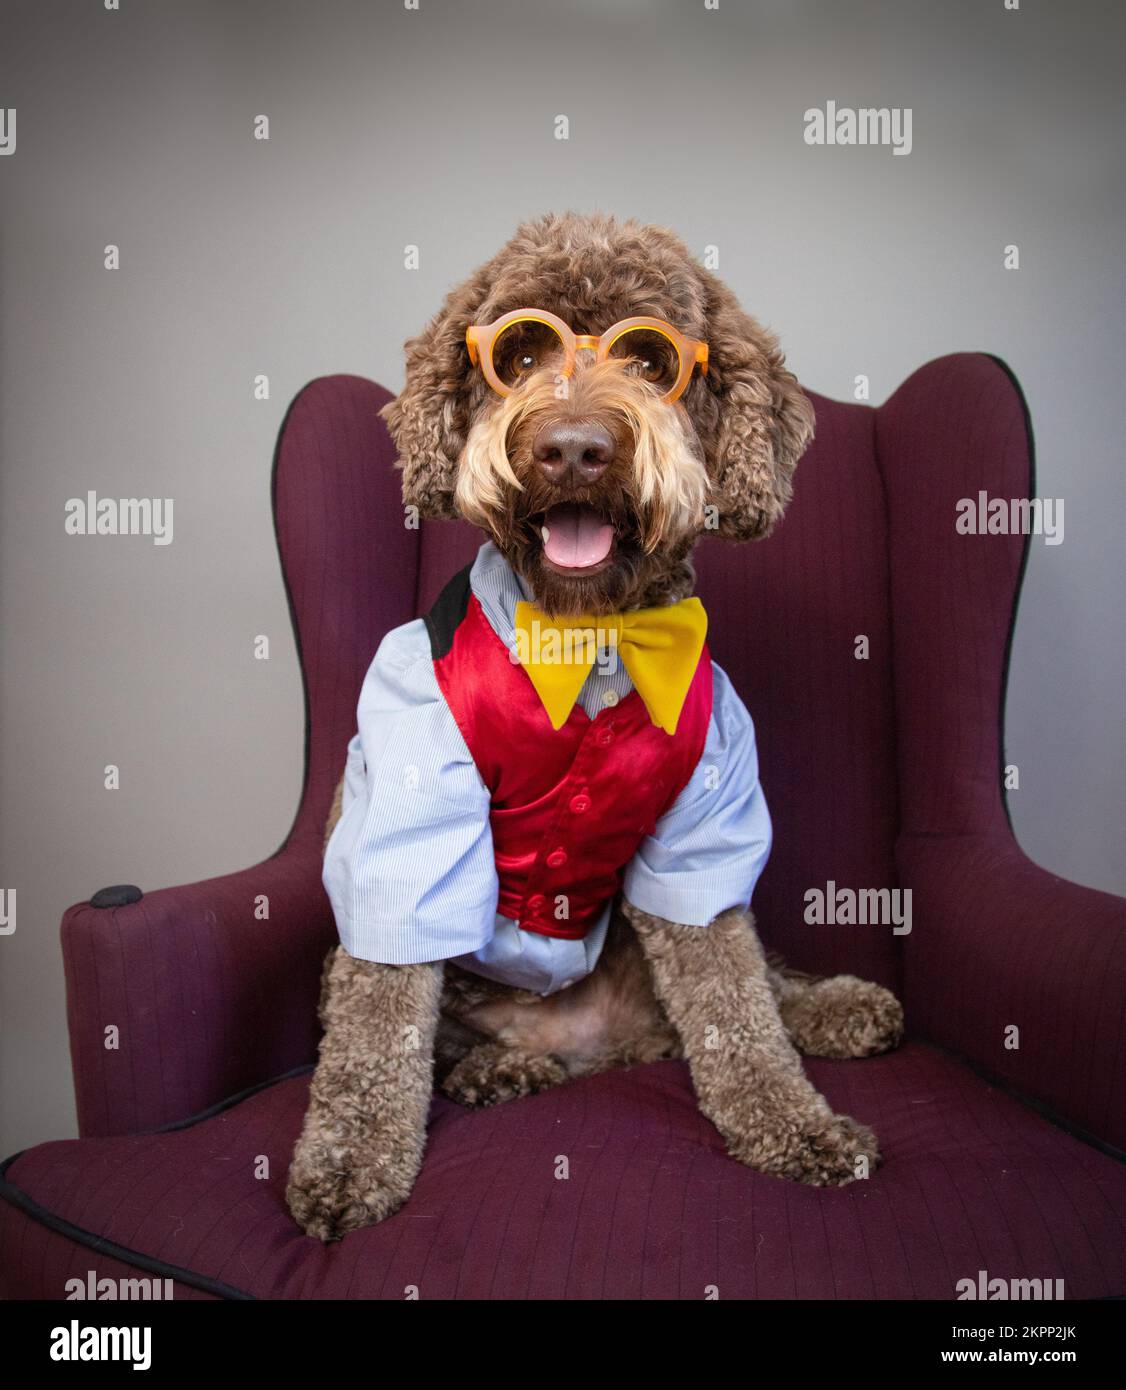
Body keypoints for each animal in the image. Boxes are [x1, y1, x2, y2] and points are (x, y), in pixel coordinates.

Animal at [287, 208, 906, 1239]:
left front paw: (795, 1125)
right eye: (521, 352)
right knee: (426, 1033)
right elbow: (381, 1020)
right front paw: (349, 1163)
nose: (573, 447)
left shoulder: (705, 825)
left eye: (652, 359)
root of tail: (608, 1044)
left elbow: (735, 999)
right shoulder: (404, 819)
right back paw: (499, 1066)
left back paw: (834, 1009)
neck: (592, 633)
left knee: (754, 986)